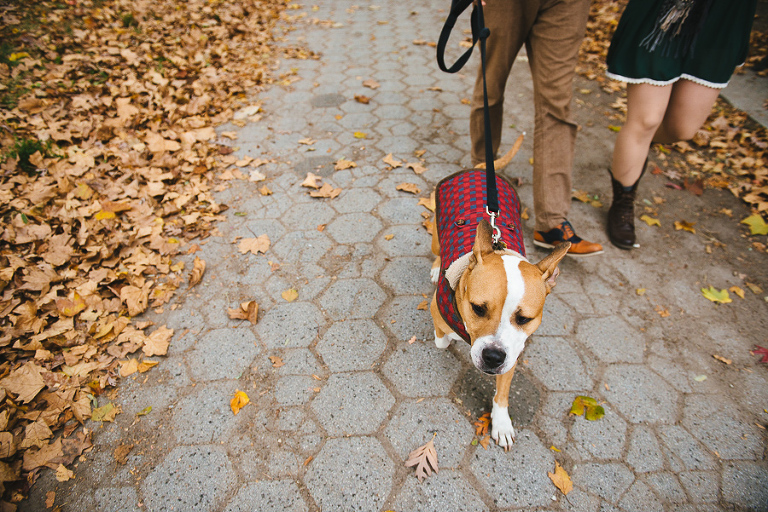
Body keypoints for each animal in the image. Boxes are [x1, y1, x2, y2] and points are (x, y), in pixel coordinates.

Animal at [428, 171, 568, 448]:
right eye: (478, 309)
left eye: (524, 319)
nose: (493, 357)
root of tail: (480, 170)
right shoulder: (436, 311)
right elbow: (441, 339)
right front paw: (450, 338)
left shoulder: (512, 352)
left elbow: (502, 392)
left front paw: (502, 423)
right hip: (437, 237)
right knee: (437, 251)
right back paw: (436, 268)